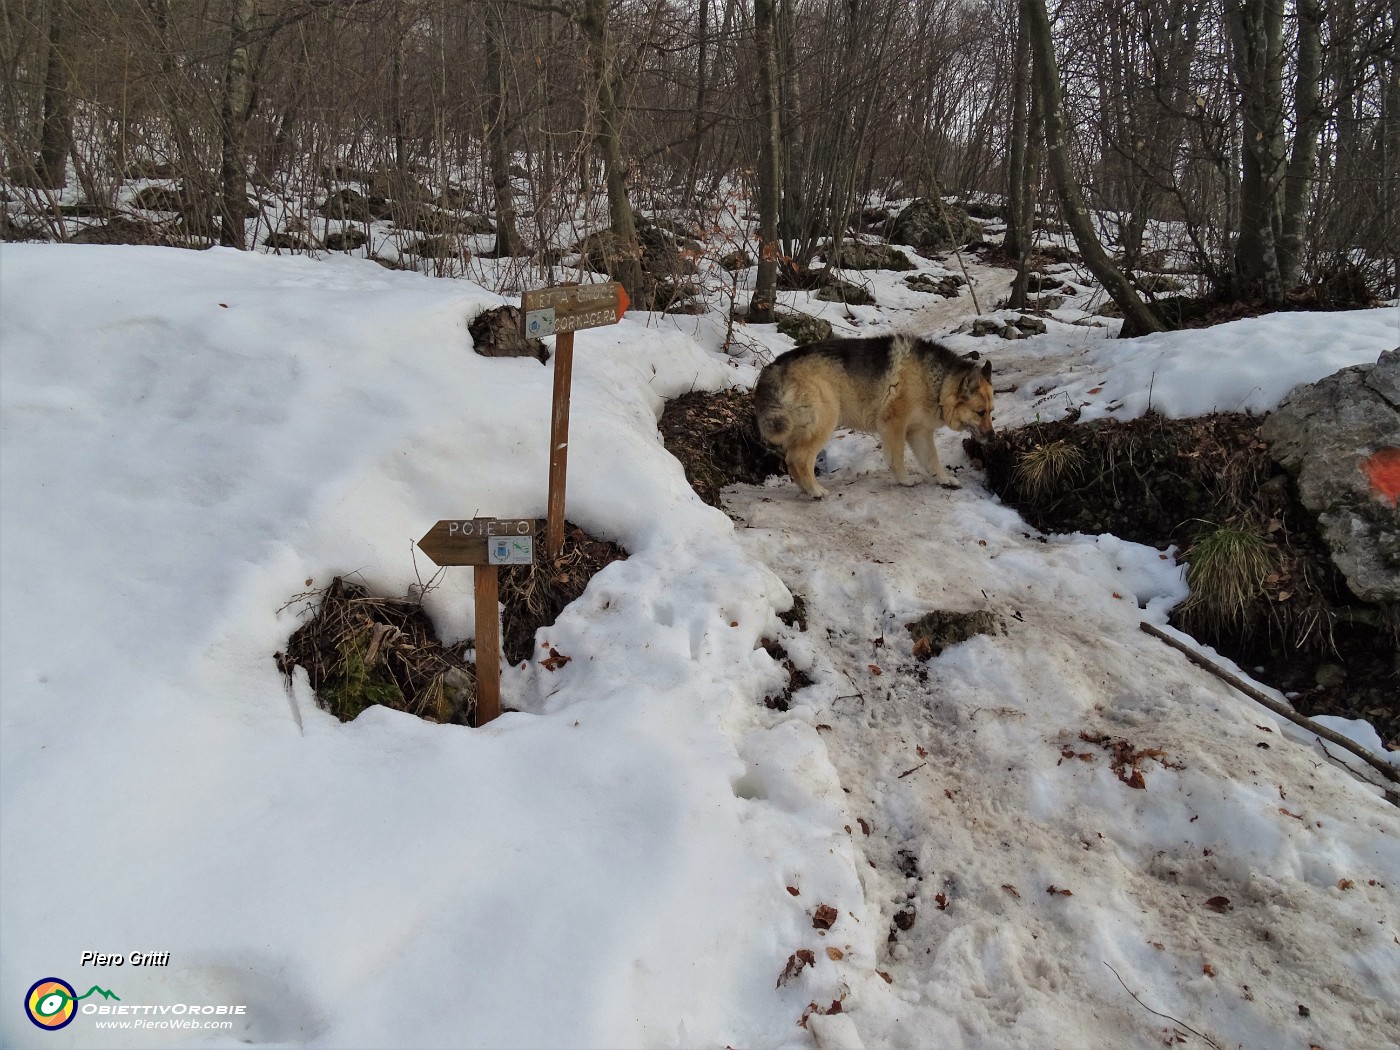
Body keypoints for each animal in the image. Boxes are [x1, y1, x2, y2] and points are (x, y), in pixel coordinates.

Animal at [756, 337, 996, 501]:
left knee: (790, 461)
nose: (992, 438)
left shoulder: (919, 432)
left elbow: (932, 460)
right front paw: (905, 481)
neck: (940, 384)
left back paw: (806, 490)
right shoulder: (894, 426)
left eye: (991, 411)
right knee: (799, 459)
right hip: (826, 421)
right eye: (980, 412)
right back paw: (816, 491)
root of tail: (775, 365)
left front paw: (944, 479)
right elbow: (898, 458)